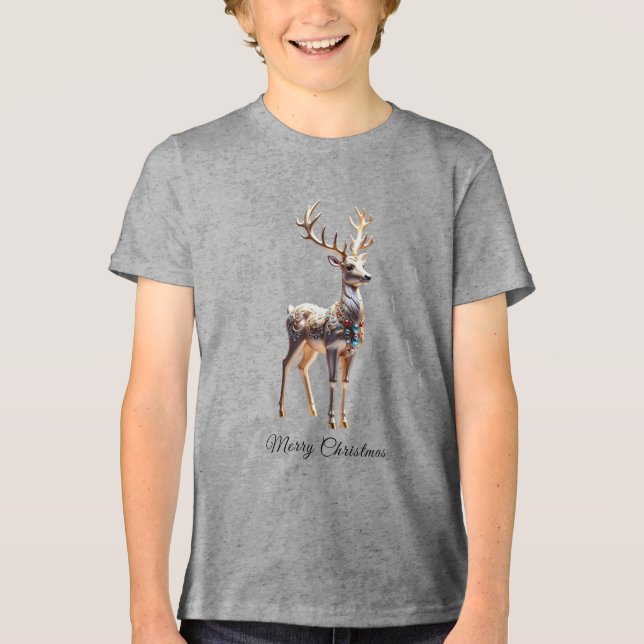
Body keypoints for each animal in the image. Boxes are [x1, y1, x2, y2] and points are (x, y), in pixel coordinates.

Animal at [278, 199, 374, 429]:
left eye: (363, 264)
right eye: (349, 266)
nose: (367, 276)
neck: (350, 321)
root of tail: (291, 309)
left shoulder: (352, 351)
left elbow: (346, 381)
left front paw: (344, 420)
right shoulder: (332, 347)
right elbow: (332, 380)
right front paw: (331, 420)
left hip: (310, 347)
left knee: (302, 367)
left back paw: (312, 410)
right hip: (295, 339)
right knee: (285, 363)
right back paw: (282, 410)